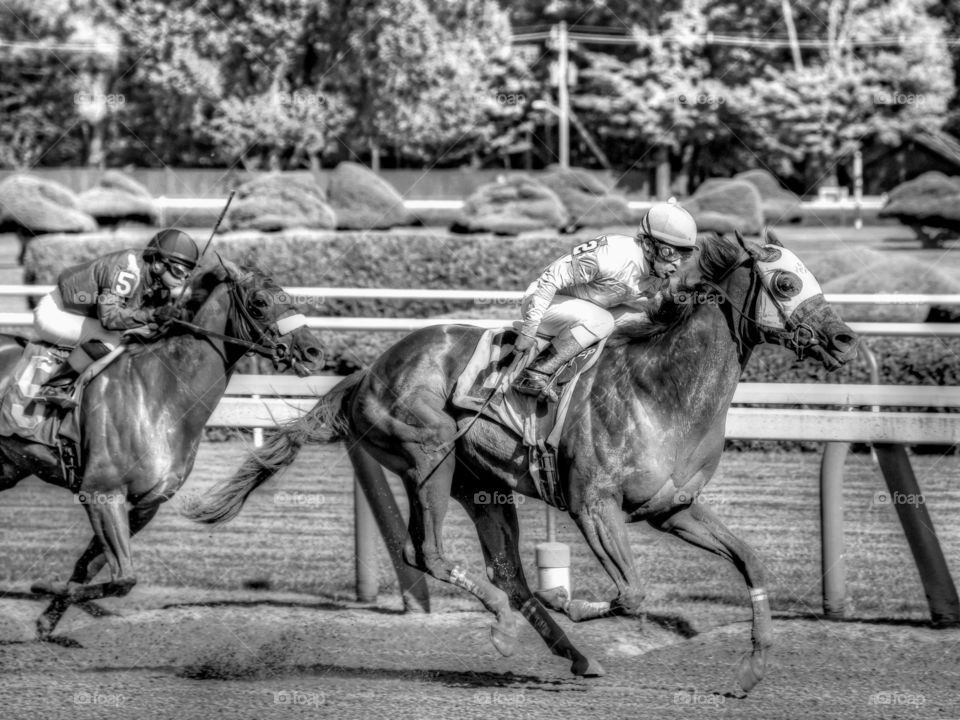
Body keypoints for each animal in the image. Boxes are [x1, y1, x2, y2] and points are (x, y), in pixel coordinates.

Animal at [0, 258, 324, 636]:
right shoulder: (101, 492)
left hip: (9, 467)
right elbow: (123, 578)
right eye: (259, 302)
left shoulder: (145, 504)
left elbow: (93, 568)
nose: (314, 351)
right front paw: (43, 587)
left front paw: (48, 616)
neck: (159, 395)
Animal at [184, 232, 860, 692]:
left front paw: (751, 670)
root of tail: (366, 372)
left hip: (483, 487)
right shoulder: (594, 505)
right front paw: (573, 603)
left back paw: (573, 654)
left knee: (504, 572)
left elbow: (750, 559)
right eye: (786, 284)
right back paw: (510, 629)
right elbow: (633, 593)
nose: (846, 339)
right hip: (428, 455)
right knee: (426, 553)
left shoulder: (672, 509)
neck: (662, 389)